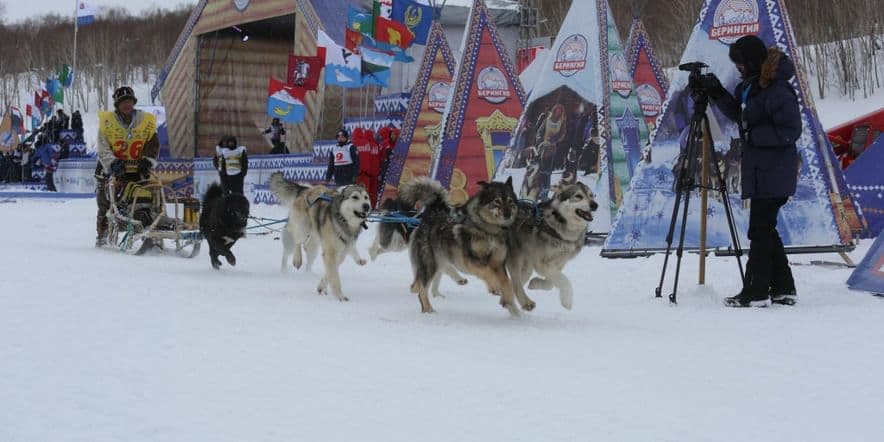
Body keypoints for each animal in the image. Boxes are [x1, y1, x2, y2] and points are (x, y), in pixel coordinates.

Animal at [266, 171, 370, 302]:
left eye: (366, 197)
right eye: (355, 197)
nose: (366, 206)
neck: (343, 220)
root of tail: (306, 189)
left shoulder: (339, 253)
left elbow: (330, 272)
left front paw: (322, 287)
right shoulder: (331, 253)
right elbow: (334, 277)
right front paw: (340, 296)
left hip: (315, 238)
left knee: (307, 246)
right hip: (302, 228)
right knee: (296, 240)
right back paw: (297, 259)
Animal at [402, 175, 524, 314]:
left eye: (510, 201)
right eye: (497, 201)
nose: (508, 214)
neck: (488, 230)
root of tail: (432, 214)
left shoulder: (497, 263)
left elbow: (507, 282)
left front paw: (508, 298)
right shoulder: (471, 260)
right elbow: (488, 272)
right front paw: (495, 287)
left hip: (439, 262)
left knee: (418, 285)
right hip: (430, 264)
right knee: (422, 289)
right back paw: (428, 309)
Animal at [508, 181, 596, 310]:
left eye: (591, 195)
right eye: (578, 196)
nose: (595, 205)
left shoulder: (559, 263)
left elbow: (550, 283)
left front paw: (535, 283)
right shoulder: (542, 264)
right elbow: (564, 280)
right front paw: (567, 300)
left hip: (526, 268)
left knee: (513, 285)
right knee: (513, 283)